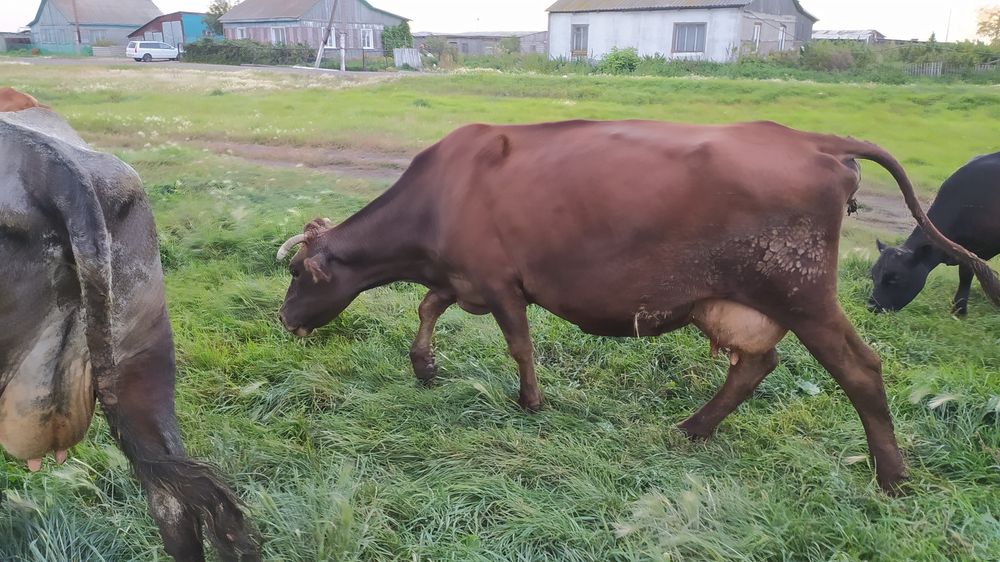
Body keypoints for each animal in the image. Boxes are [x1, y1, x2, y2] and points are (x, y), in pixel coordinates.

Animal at [869, 152, 1000, 315]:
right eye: (873, 275)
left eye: (896, 278)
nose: (871, 306)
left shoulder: (979, 251)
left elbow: (966, 273)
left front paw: (959, 310)